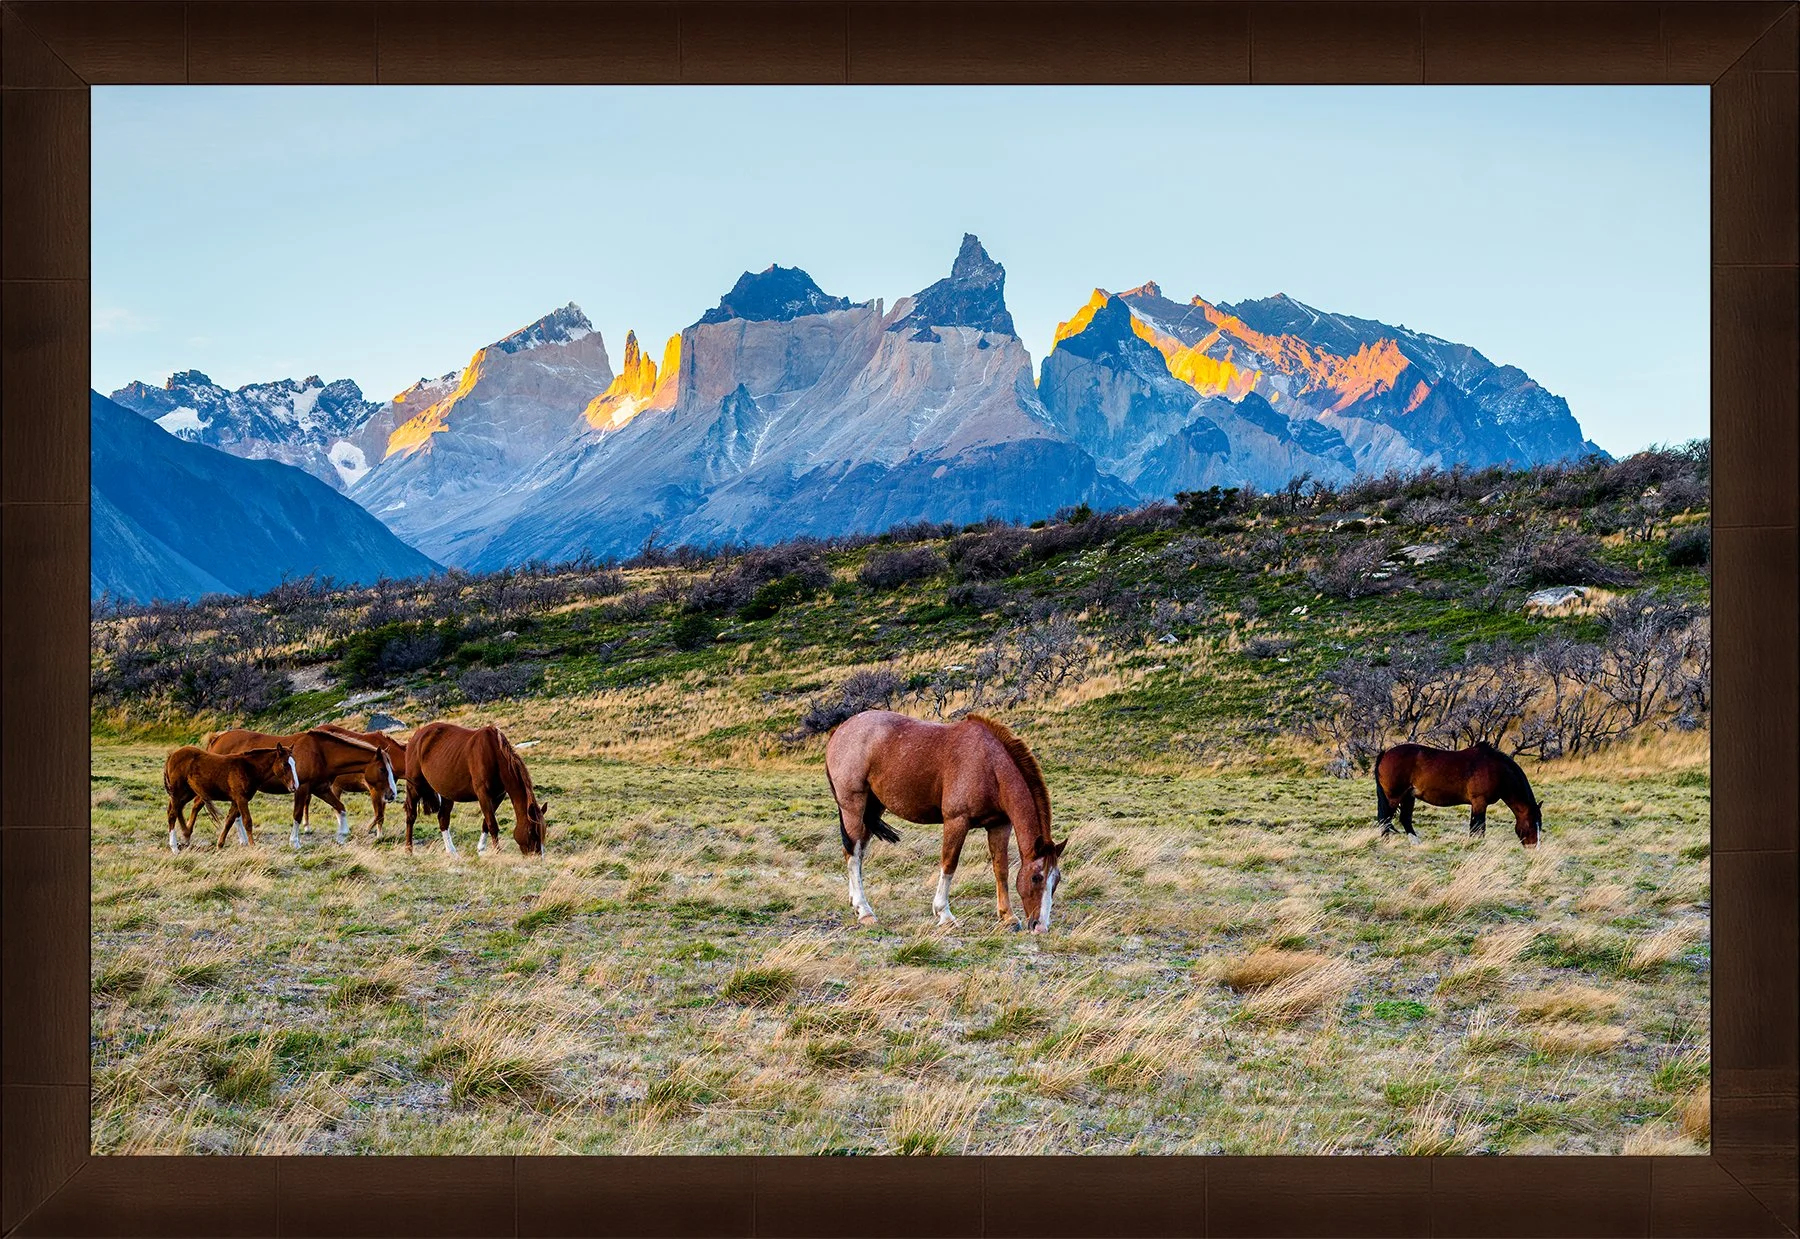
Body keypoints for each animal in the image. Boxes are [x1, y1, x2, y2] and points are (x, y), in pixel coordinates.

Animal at [163, 743, 297, 851]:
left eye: (294, 763)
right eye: (285, 764)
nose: (294, 786)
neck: (248, 768)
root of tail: (172, 755)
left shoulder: (236, 800)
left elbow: (229, 821)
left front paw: (219, 845)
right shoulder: (241, 799)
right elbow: (247, 822)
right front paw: (253, 846)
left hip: (188, 792)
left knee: (178, 809)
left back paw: (186, 835)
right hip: (177, 792)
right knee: (172, 813)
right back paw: (174, 847)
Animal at [205, 727, 397, 849]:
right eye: (382, 769)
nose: (392, 794)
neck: (321, 753)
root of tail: (218, 738)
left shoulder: (321, 789)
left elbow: (341, 808)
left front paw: (342, 836)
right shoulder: (302, 788)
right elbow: (297, 815)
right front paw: (294, 842)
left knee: (235, 815)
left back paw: (243, 840)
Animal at [402, 721, 548, 856]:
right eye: (531, 831)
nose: (537, 857)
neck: (494, 754)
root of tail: (417, 735)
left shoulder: (498, 796)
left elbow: (486, 823)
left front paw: (481, 850)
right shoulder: (483, 794)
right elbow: (492, 825)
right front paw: (497, 852)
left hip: (447, 792)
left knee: (443, 818)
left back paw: (452, 853)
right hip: (414, 786)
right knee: (411, 816)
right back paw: (409, 850)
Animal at [824, 710, 1069, 932]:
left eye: (1056, 880)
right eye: (1036, 878)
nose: (1040, 927)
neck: (990, 765)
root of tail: (840, 731)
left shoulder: (999, 825)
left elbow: (1001, 869)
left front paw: (1007, 916)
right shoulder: (956, 821)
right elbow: (949, 864)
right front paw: (945, 914)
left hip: (872, 808)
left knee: (858, 853)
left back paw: (855, 903)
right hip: (853, 807)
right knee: (853, 854)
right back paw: (865, 911)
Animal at [1374, 741, 1542, 847]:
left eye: (1539, 825)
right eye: (1531, 824)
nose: (1534, 848)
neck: (1497, 770)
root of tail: (1385, 753)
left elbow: (1475, 826)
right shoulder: (1479, 802)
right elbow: (1478, 827)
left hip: (1409, 796)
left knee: (1404, 819)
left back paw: (1415, 843)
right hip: (1394, 797)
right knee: (1386, 819)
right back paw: (1386, 842)